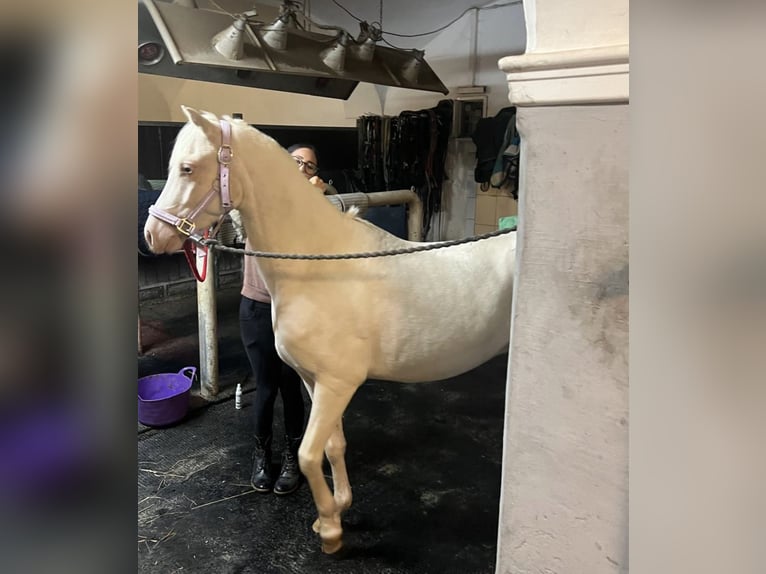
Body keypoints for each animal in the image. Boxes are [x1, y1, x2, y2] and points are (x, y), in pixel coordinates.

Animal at [143, 106, 516, 555]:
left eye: (188, 167)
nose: (151, 236)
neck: (318, 264)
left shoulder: (339, 383)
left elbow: (307, 454)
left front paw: (331, 534)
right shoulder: (314, 380)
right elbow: (332, 446)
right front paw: (337, 510)